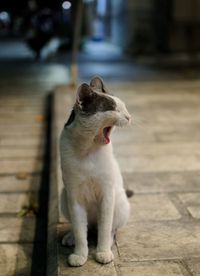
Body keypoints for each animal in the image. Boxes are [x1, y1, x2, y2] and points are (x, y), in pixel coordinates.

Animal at [59, 76, 131, 266]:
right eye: (113, 108)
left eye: (124, 107)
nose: (129, 117)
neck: (87, 150)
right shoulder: (74, 196)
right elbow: (79, 230)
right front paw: (80, 255)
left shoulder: (106, 194)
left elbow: (105, 229)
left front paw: (103, 252)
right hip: (64, 197)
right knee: (82, 228)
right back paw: (70, 237)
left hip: (119, 201)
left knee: (110, 229)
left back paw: (109, 242)